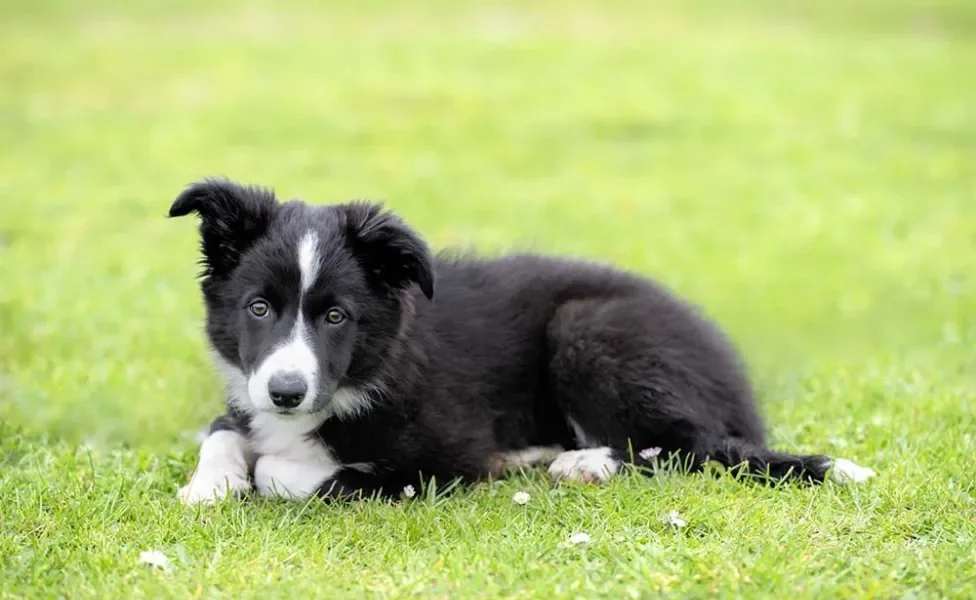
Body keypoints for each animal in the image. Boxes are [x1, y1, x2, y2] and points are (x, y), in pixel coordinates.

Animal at [170, 179, 876, 506]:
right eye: (259, 308)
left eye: (337, 317)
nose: (286, 393)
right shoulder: (247, 393)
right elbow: (224, 429)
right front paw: (211, 485)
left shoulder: (440, 457)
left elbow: (291, 473)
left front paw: (263, 471)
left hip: (587, 330)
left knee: (685, 445)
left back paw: (584, 463)